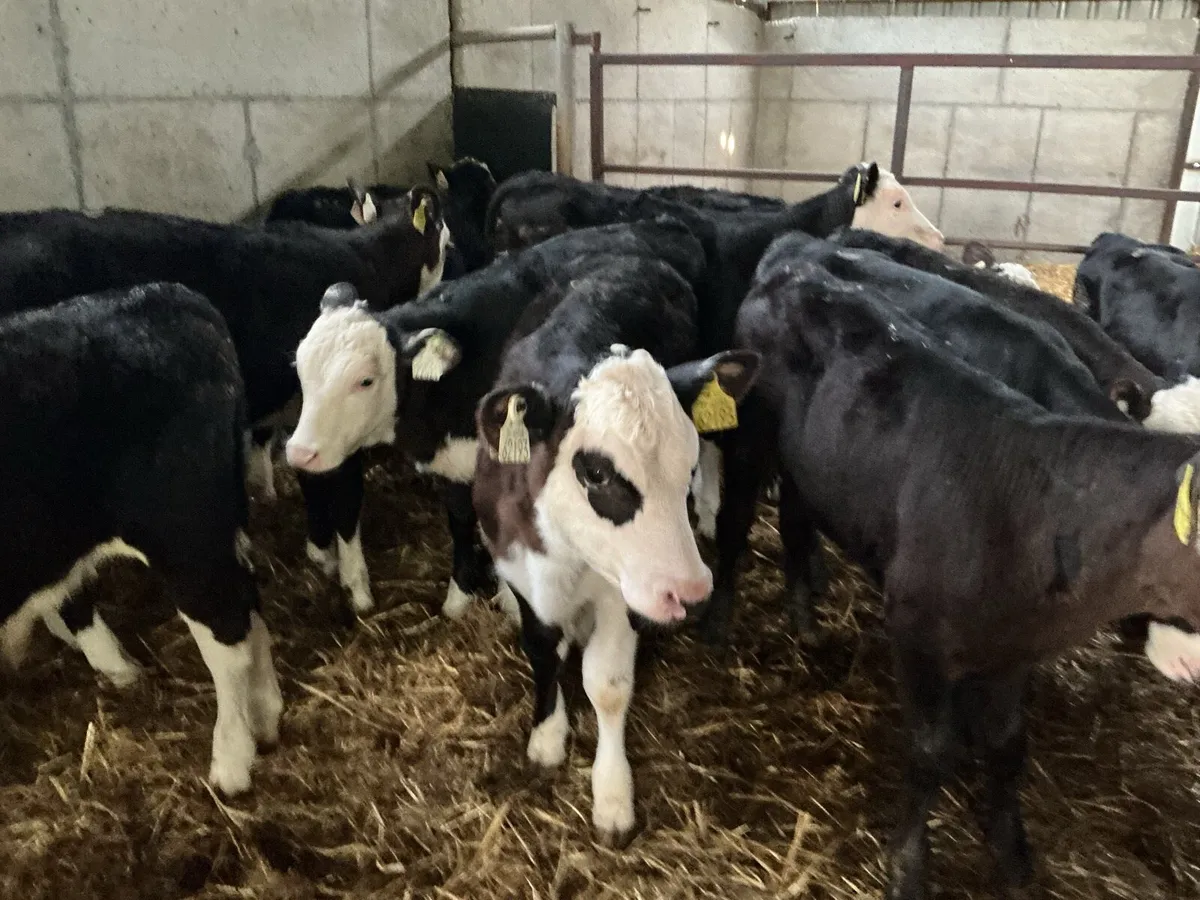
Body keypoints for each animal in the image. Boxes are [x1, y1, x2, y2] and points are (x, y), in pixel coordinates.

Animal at [285, 218, 709, 621]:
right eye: (300, 370)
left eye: (365, 380)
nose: (300, 452)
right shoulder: (453, 468)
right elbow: (460, 524)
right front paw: (459, 597)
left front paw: (508, 600)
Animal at [470, 254, 759, 842]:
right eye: (598, 472)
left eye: (685, 464)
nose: (690, 590)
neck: (563, 554)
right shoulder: (521, 571)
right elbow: (542, 651)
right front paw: (547, 735)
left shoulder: (621, 595)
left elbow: (605, 684)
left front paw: (611, 793)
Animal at [732, 270, 1200, 900]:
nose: (1190, 660)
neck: (1035, 512)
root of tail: (796, 274)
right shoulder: (916, 634)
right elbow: (931, 751)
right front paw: (908, 865)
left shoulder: (1014, 650)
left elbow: (1007, 745)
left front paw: (1010, 849)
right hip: (764, 441)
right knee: (789, 522)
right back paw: (804, 619)